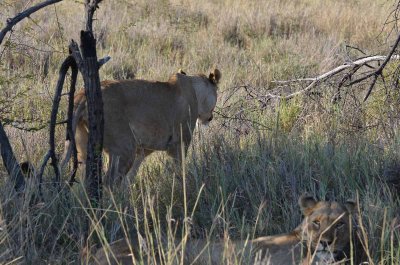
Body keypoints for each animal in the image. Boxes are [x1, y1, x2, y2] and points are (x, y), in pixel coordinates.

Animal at [61, 69, 222, 183]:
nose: (210, 117)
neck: (195, 89)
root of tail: (82, 95)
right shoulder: (180, 143)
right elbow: (179, 170)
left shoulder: (143, 148)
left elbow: (130, 178)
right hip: (124, 147)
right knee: (110, 182)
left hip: (82, 143)